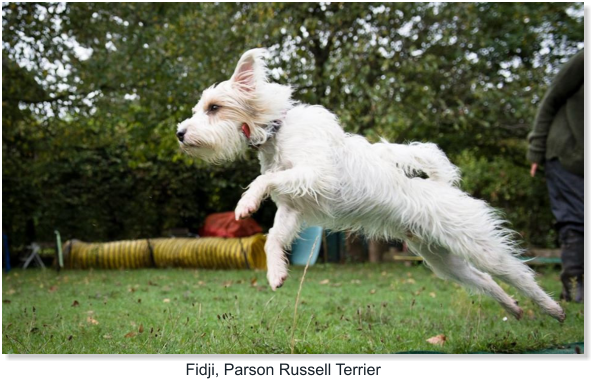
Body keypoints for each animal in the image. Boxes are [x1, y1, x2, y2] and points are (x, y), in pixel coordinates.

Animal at [177, 49, 564, 324]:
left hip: (479, 246)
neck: (276, 130)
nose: (180, 133)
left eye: (214, 107)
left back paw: (552, 308)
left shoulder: (316, 174)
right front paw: (276, 273)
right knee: (485, 280)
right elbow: (273, 238)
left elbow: (263, 179)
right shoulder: (292, 207)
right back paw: (513, 308)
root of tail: (442, 188)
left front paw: (246, 203)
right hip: (443, 261)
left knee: (519, 273)